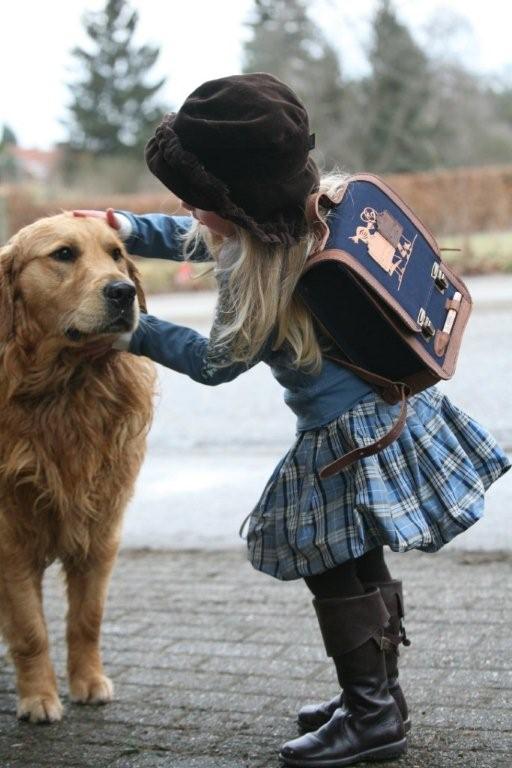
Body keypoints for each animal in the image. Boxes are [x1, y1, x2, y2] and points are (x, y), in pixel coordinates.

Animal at [0, 213, 155, 724]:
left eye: (116, 254)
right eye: (63, 254)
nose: (122, 292)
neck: (63, 389)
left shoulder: (101, 526)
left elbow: (87, 618)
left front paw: (88, 681)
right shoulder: (10, 537)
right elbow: (30, 630)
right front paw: (39, 697)